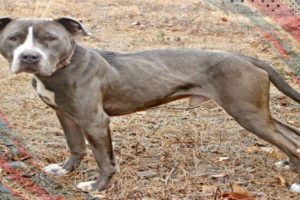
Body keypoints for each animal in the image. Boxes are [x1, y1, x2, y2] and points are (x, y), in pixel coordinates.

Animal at [0, 16, 300, 192]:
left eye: (51, 38)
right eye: (13, 38)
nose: (29, 57)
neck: (66, 66)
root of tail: (248, 58)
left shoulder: (94, 121)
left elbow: (103, 158)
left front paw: (98, 187)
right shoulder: (66, 116)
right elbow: (75, 147)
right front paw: (64, 170)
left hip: (247, 112)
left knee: (288, 141)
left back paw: (295, 182)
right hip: (255, 109)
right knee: (290, 135)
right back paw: (289, 165)